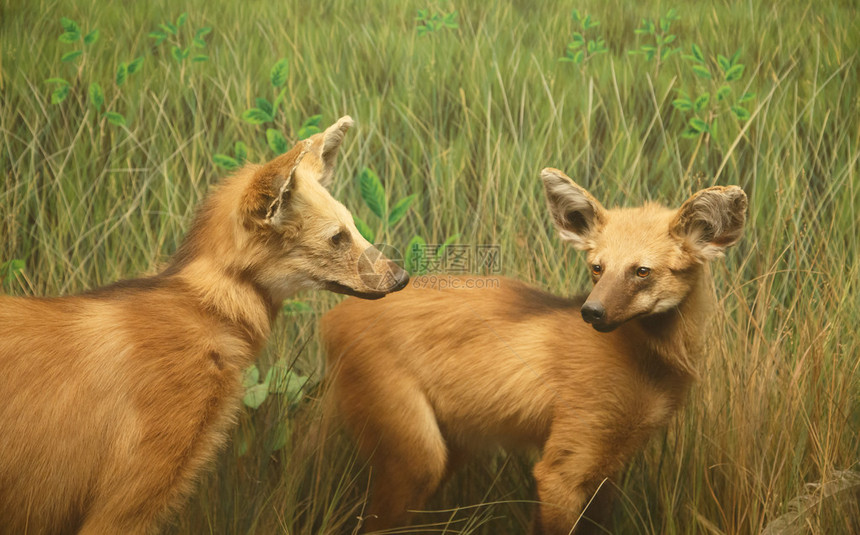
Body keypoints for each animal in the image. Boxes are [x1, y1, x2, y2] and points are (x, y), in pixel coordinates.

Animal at [322, 169, 744, 535]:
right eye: (597, 268)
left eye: (642, 271)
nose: (592, 312)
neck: (651, 368)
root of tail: (335, 315)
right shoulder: (562, 468)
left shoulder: (608, 466)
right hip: (418, 460)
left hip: (450, 447)